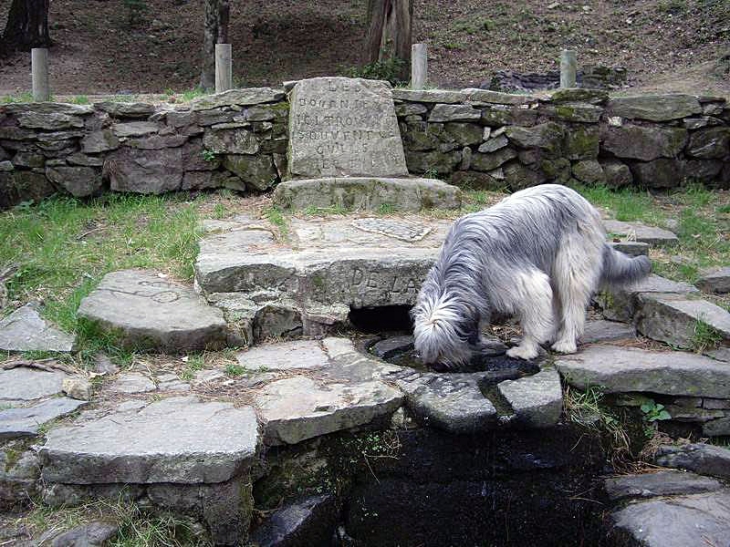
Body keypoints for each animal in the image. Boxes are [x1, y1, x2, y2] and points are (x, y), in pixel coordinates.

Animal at [412, 184, 652, 368]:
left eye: (443, 349)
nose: (435, 366)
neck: (463, 259)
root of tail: (584, 201)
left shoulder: (519, 279)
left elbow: (531, 316)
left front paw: (525, 350)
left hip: (571, 265)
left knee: (573, 303)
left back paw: (566, 341)